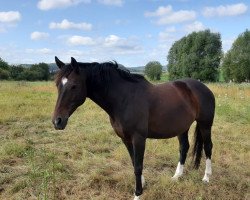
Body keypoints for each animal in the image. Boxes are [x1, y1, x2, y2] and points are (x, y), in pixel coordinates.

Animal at [51, 56, 214, 200]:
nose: (57, 121)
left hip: (205, 125)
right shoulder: (126, 139)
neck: (124, 99)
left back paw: (206, 177)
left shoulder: (139, 138)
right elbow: (134, 163)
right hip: (182, 127)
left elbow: (138, 166)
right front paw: (142, 184)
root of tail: (202, 87)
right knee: (184, 147)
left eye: (74, 86)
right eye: (58, 84)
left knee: (208, 147)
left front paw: (137, 194)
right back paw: (177, 176)